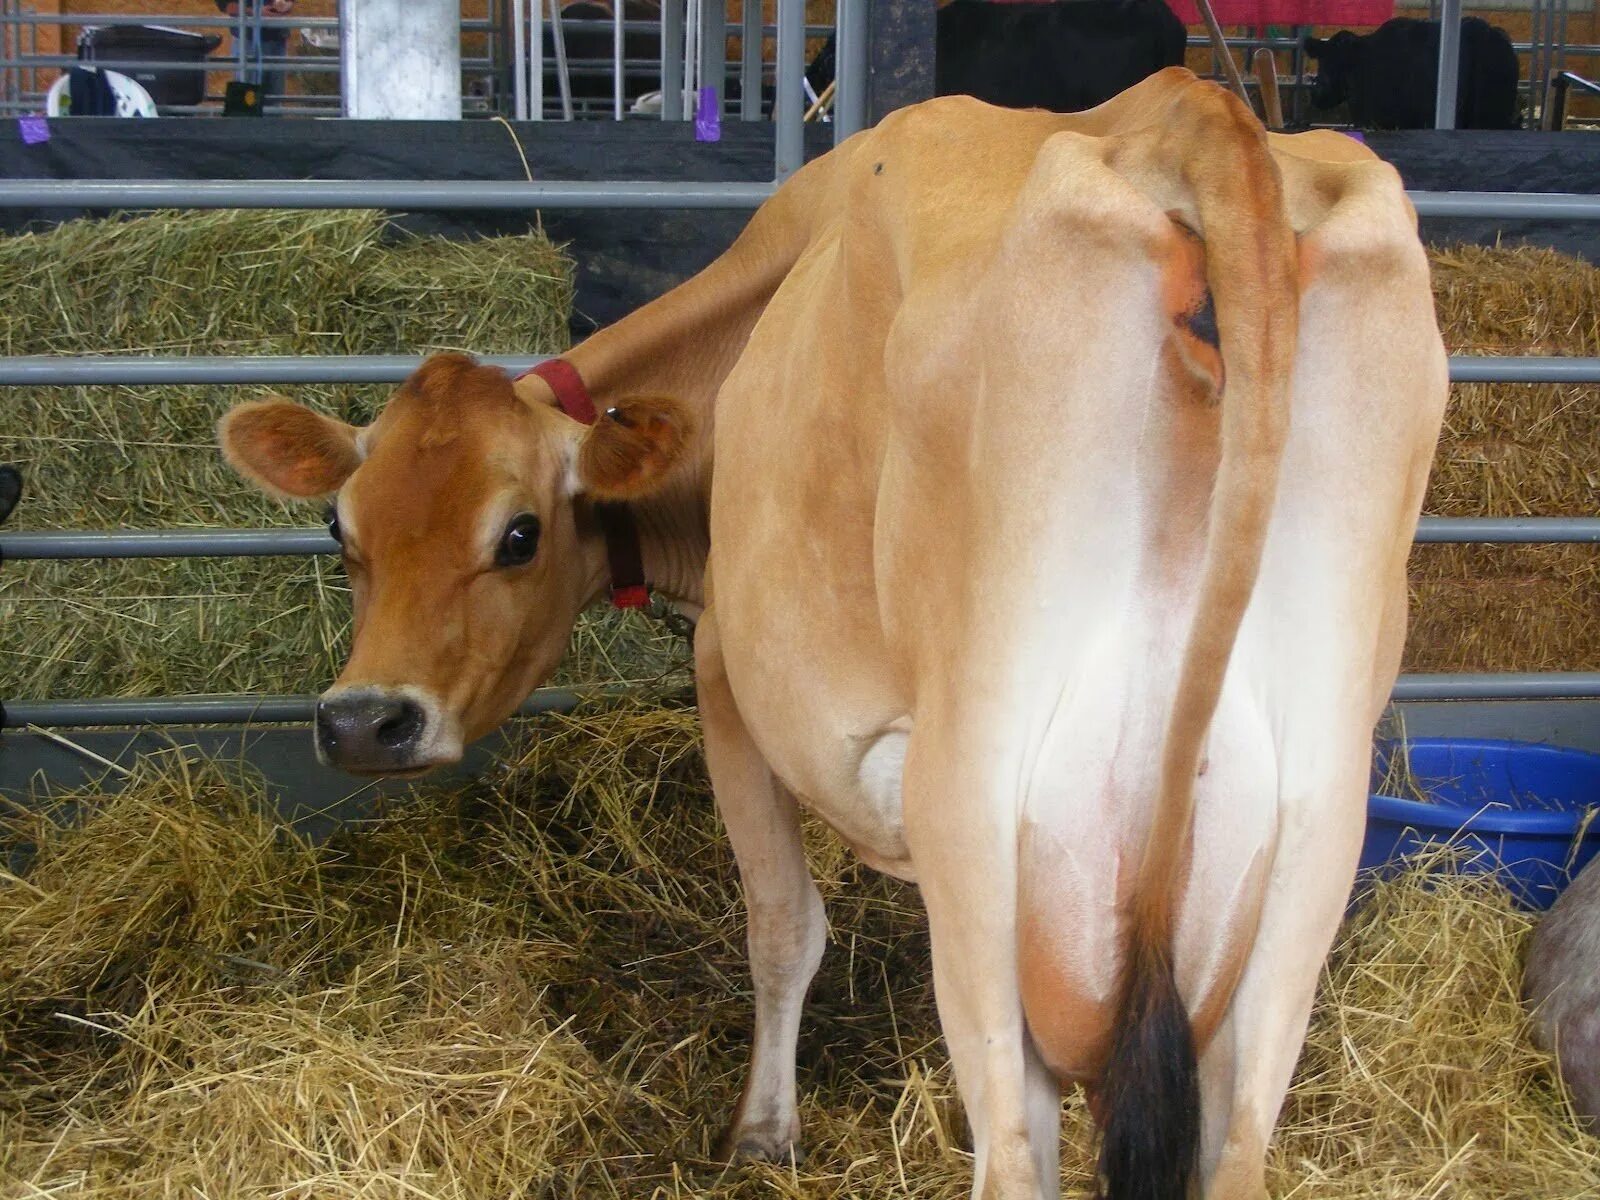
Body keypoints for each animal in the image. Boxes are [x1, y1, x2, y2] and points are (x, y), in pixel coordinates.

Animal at [219, 70, 1459, 1196]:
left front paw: (762, 1135)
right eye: (339, 529)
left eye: (518, 533)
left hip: (982, 811)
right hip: (1308, 841)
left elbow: (781, 929)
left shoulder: (725, 671)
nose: (364, 722)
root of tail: (1191, 113)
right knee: (1235, 1147)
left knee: (1011, 1155)